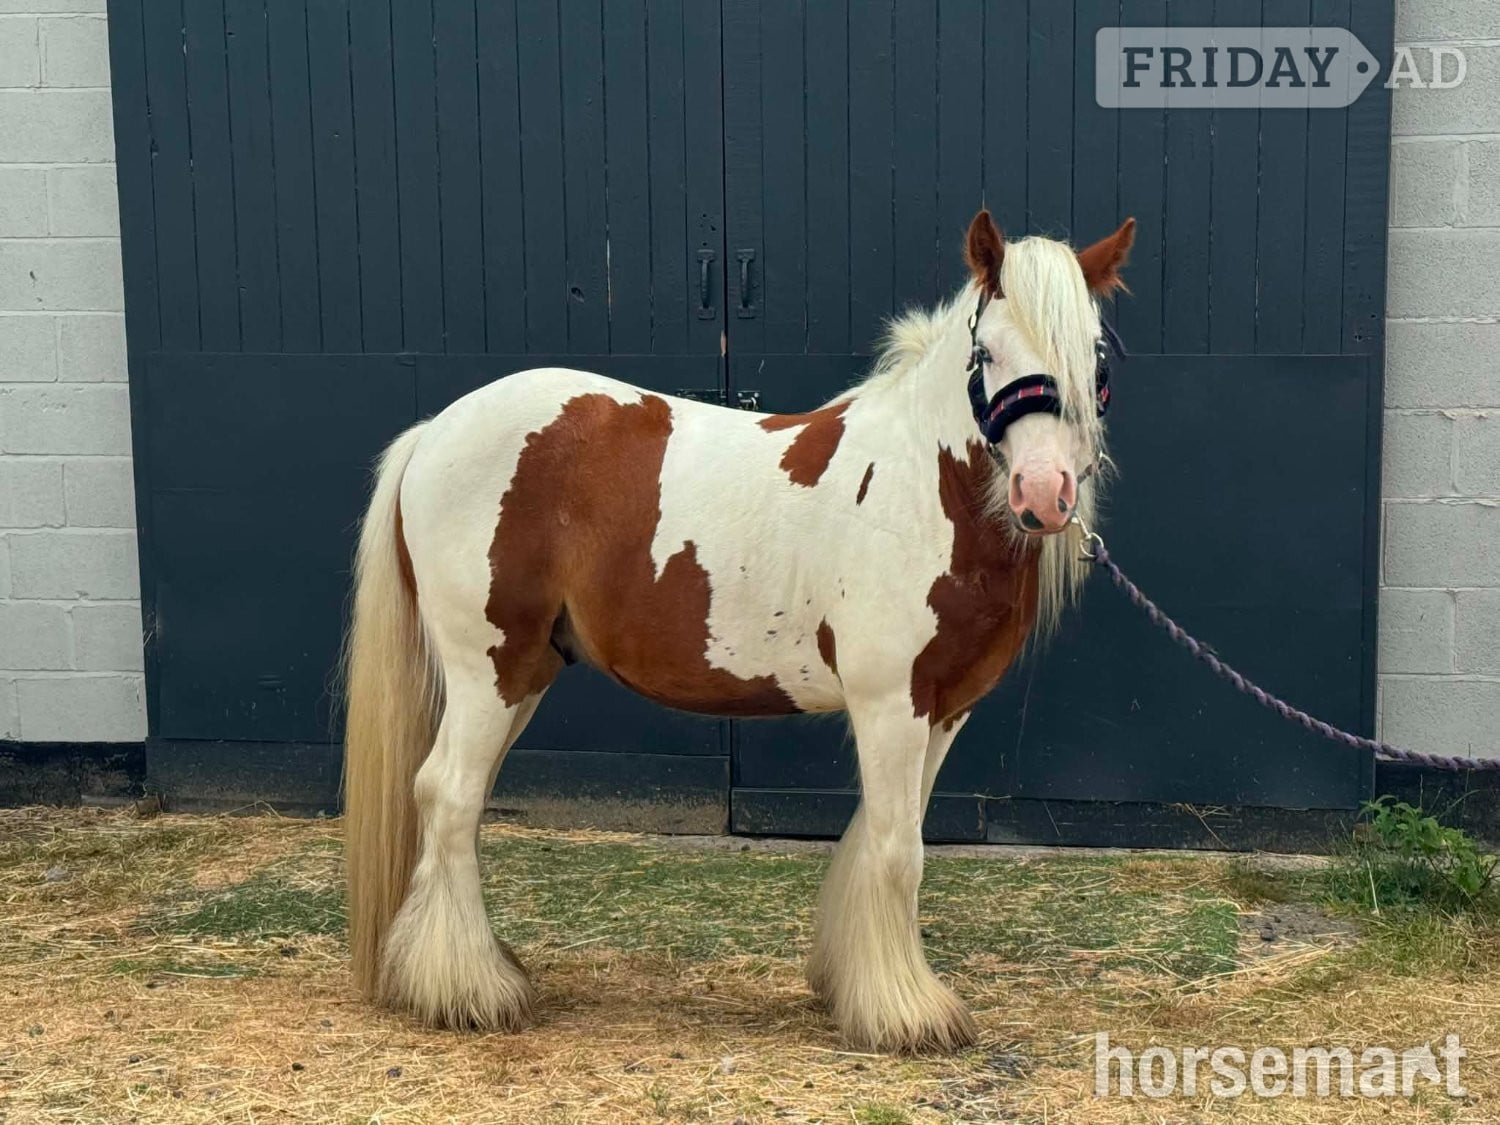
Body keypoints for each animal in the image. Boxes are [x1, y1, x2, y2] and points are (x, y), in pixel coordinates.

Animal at [342, 208, 1135, 1054]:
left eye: (1094, 354)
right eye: (987, 353)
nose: (1044, 494)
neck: (921, 488)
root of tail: (435, 431)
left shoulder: (943, 710)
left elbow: (880, 838)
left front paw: (852, 984)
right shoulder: (890, 705)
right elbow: (897, 851)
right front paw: (905, 1012)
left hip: (524, 674)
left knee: (458, 801)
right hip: (486, 667)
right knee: (449, 794)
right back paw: (467, 990)